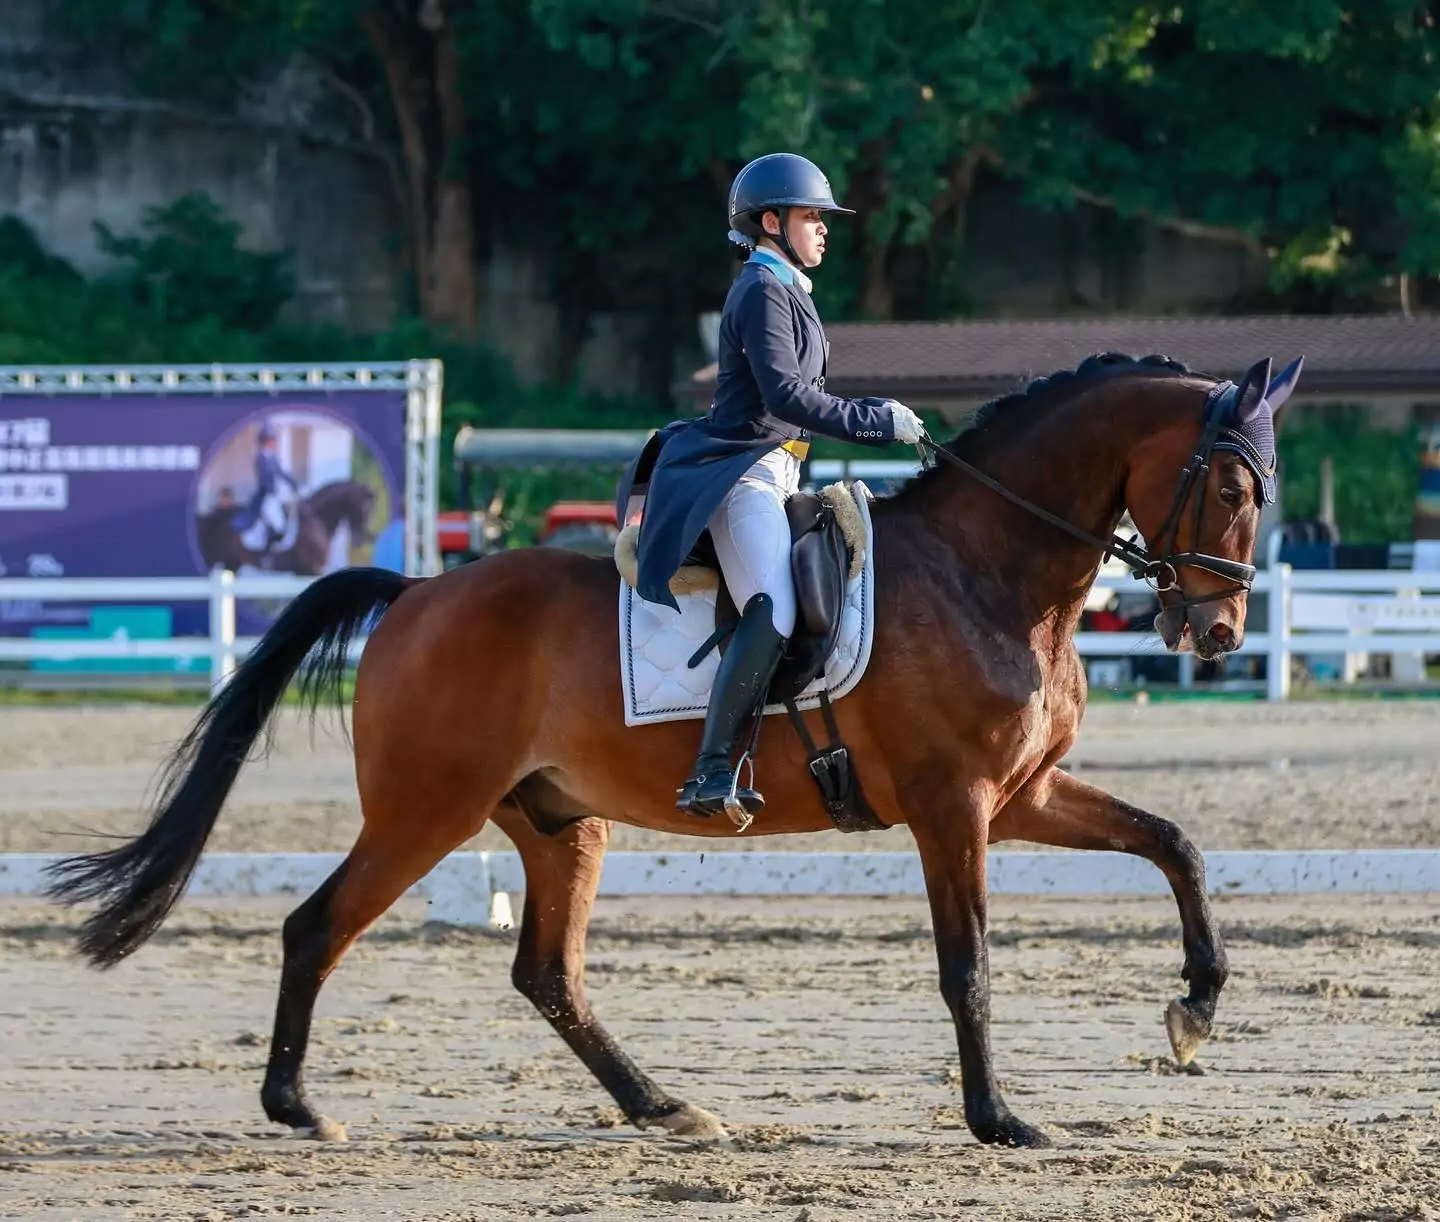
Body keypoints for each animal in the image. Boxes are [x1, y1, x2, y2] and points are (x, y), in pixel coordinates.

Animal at [48, 352, 1293, 1150]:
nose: (1220, 634)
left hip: (559, 819)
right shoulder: (955, 805)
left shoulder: (1020, 793)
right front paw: (999, 1120)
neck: (991, 571)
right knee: (319, 927)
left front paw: (1194, 1011)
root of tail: (416, 591)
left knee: (548, 972)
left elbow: (1175, 843)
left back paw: (663, 1108)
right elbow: (968, 966)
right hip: (424, 811)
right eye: (1233, 484)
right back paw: (299, 1107)